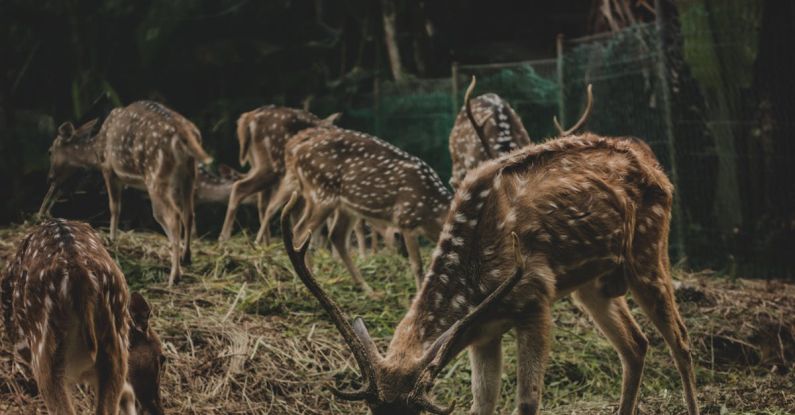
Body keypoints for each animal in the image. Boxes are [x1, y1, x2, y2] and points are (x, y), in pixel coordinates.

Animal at [1, 219, 165, 415]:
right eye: (162, 359)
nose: (158, 409)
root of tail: (78, 271)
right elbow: (127, 394)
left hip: (44, 353)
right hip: (114, 354)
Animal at [39, 101, 213, 286]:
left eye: (50, 151)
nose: (49, 178)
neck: (96, 150)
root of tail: (186, 133)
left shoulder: (109, 168)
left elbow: (114, 207)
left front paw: (111, 239)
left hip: (155, 175)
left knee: (171, 217)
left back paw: (175, 276)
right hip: (189, 174)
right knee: (188, 213)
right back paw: (186, 257)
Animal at [218, 105, 340, 244]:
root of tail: (248, 118)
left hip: (258, 163)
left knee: (262, 202)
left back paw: (264, 243)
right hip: (272, 166)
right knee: (241, 188)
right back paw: (225, 239)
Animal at [278, 125, 452, 296]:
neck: (433, 211)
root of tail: (297, 152)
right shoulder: (406, 220)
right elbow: (417, 265)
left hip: (341, 205)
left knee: (335, 235)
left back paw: (366, 288)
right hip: (323, 193)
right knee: (301, 230)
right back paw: (311, 277)